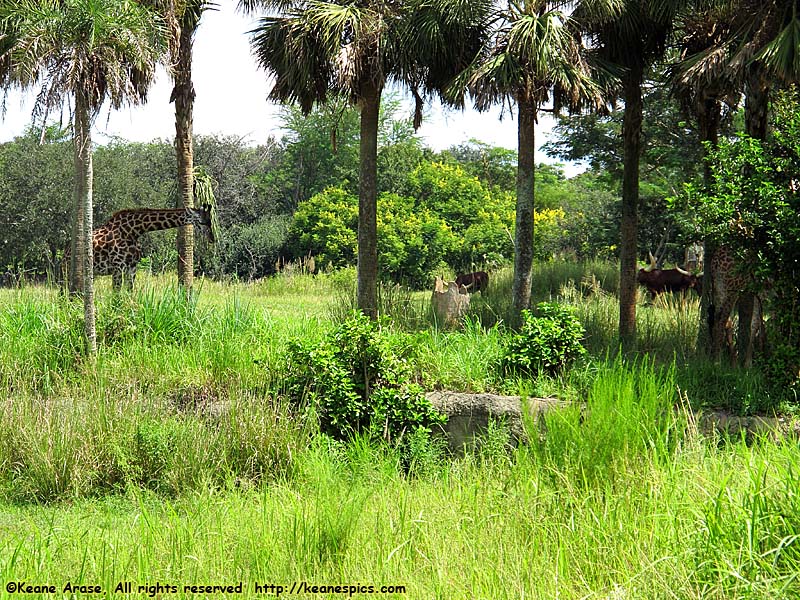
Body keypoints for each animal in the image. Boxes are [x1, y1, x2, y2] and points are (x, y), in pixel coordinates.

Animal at [65, 206, 214, 290]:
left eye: (210, 221)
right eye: (201, 222)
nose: (212, 239)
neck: (133, 231)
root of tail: (67, 251)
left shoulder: (132, 267)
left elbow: (130, 291)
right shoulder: (118, 267)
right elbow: (116, 292)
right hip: (68, 271)